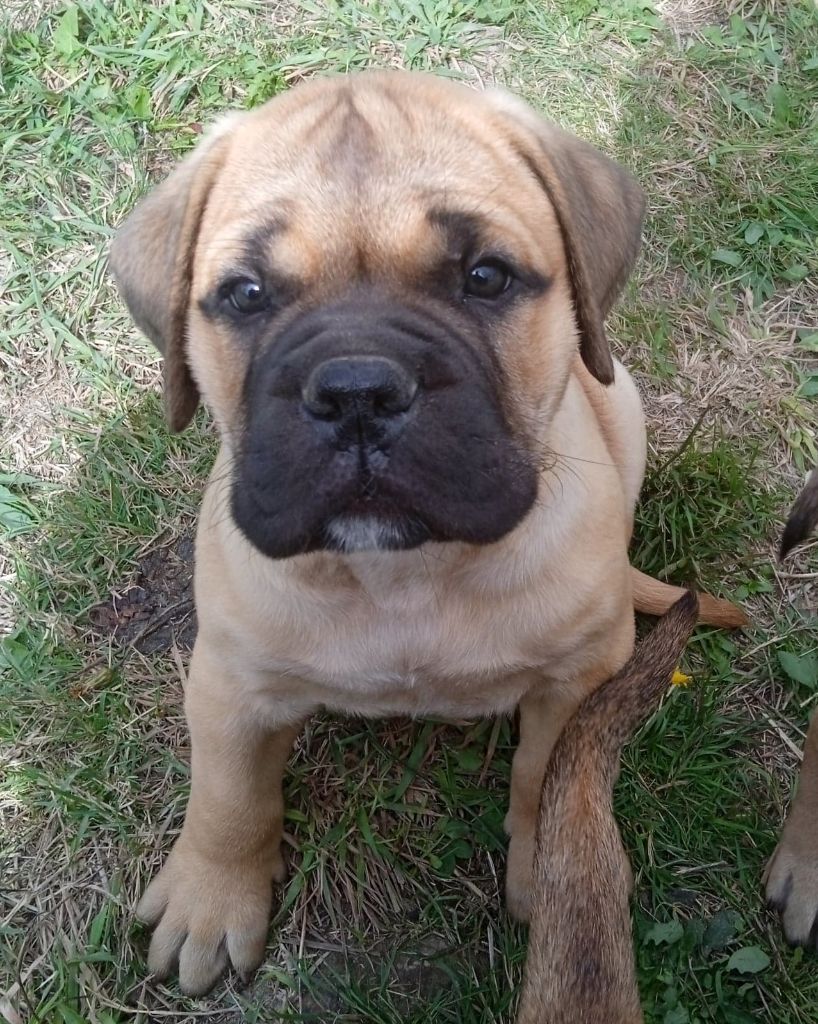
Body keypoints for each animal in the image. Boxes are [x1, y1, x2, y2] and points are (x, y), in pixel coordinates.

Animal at [110, 71, 745, 995]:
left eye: (485, 277)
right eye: (247, 294)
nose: (357, 391)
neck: (404, 575)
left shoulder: (580, 677)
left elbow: (546, 776)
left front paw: (551, 875)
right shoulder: (230, 681)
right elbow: (227, 796)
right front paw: (210, 898)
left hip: (618, 400)